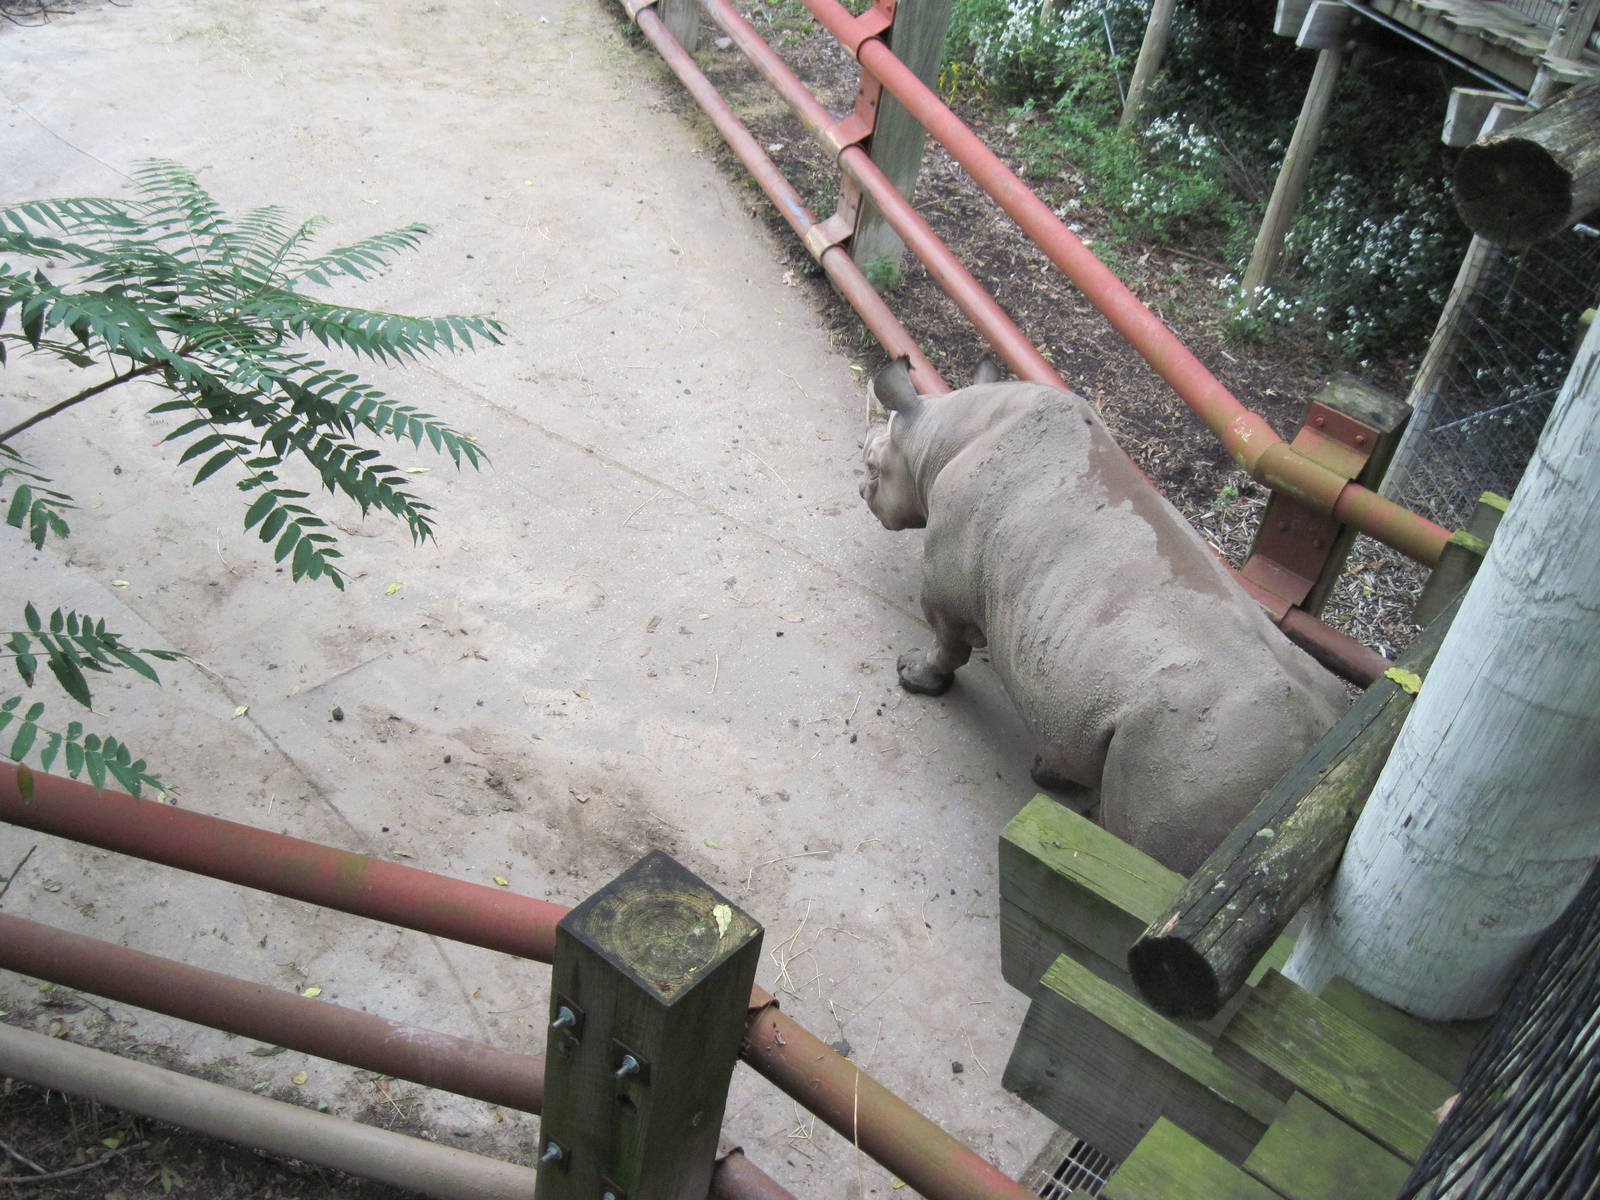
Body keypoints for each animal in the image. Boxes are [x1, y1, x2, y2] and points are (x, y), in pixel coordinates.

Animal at [859, 358, 1348, 875]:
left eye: (872, 468)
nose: (859, 488)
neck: (936, 436)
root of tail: (1305, 756)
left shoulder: (945, 582)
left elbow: (946, 643)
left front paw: (913, 676)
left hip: (1199, 764)